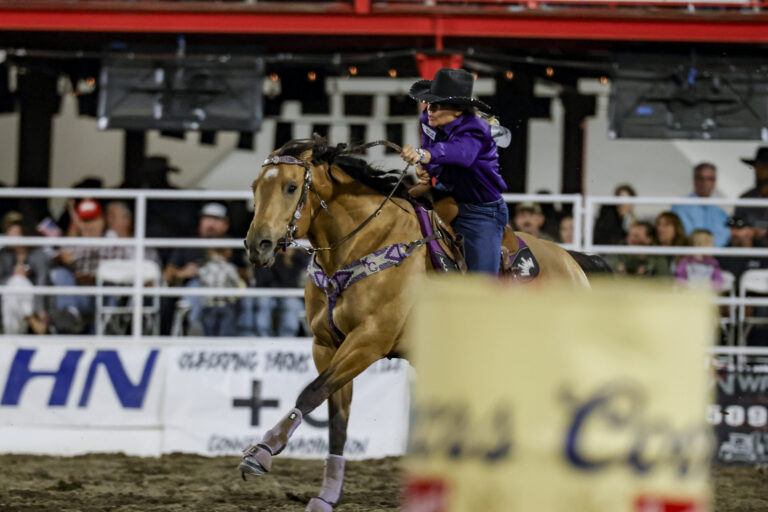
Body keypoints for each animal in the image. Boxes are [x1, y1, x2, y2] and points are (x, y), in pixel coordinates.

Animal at [242, 136, 593, 512]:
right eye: (255, 187)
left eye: (291, 187)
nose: (257, 244)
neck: (361, 245)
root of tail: (573, 262)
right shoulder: (326, 345)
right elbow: (335, 416)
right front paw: (327, 495)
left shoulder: (369, 341)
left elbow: (309, 393)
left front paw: (262, 451)